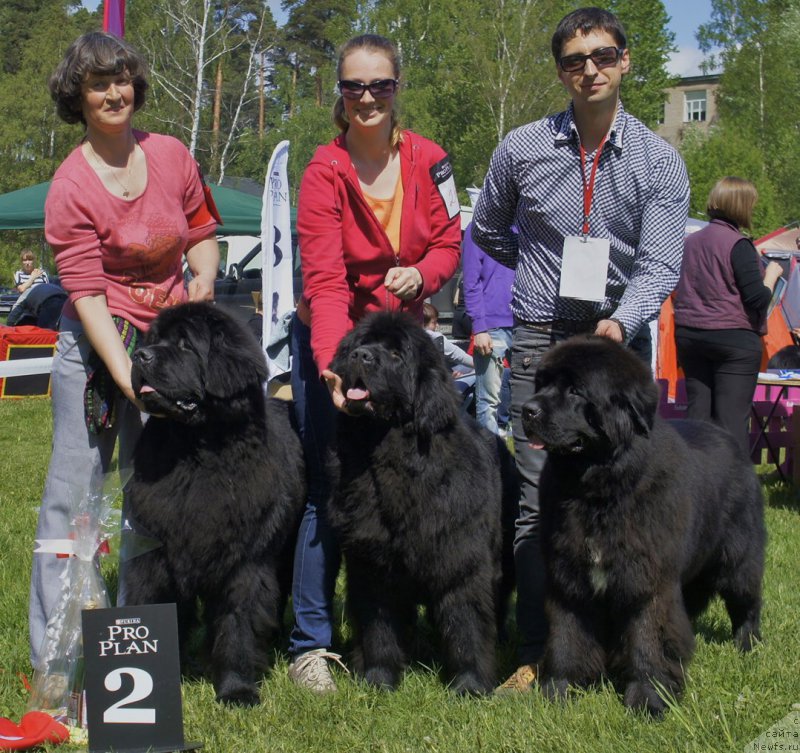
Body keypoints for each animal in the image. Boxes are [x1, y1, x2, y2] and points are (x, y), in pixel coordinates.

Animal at [122, 300, 304, 704]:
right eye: (154, 340)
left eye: (185, 345)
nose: (140, 356)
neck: (196, 453)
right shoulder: (156, 553)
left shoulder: (246, 562)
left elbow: (237, 623)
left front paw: (237, 689)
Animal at [328, 310, 516, 692]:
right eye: (360, 344)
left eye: (396, 354)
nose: (361, 356)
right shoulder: (372, 562)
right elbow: (379, 628)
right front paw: (379, 678)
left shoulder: (461, 557)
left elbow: (466, 622)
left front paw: (469, 684)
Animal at [520, 336, 764, 716]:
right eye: (541, 384)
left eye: (575, 390)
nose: (526, 410)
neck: (598, 492)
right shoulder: (569, 576)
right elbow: (567, 636)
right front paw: (559, 690)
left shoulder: (647, 578)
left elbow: (648, 639)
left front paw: (650, 698)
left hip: (737, 555)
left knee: (746, 599)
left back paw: (747, 644)